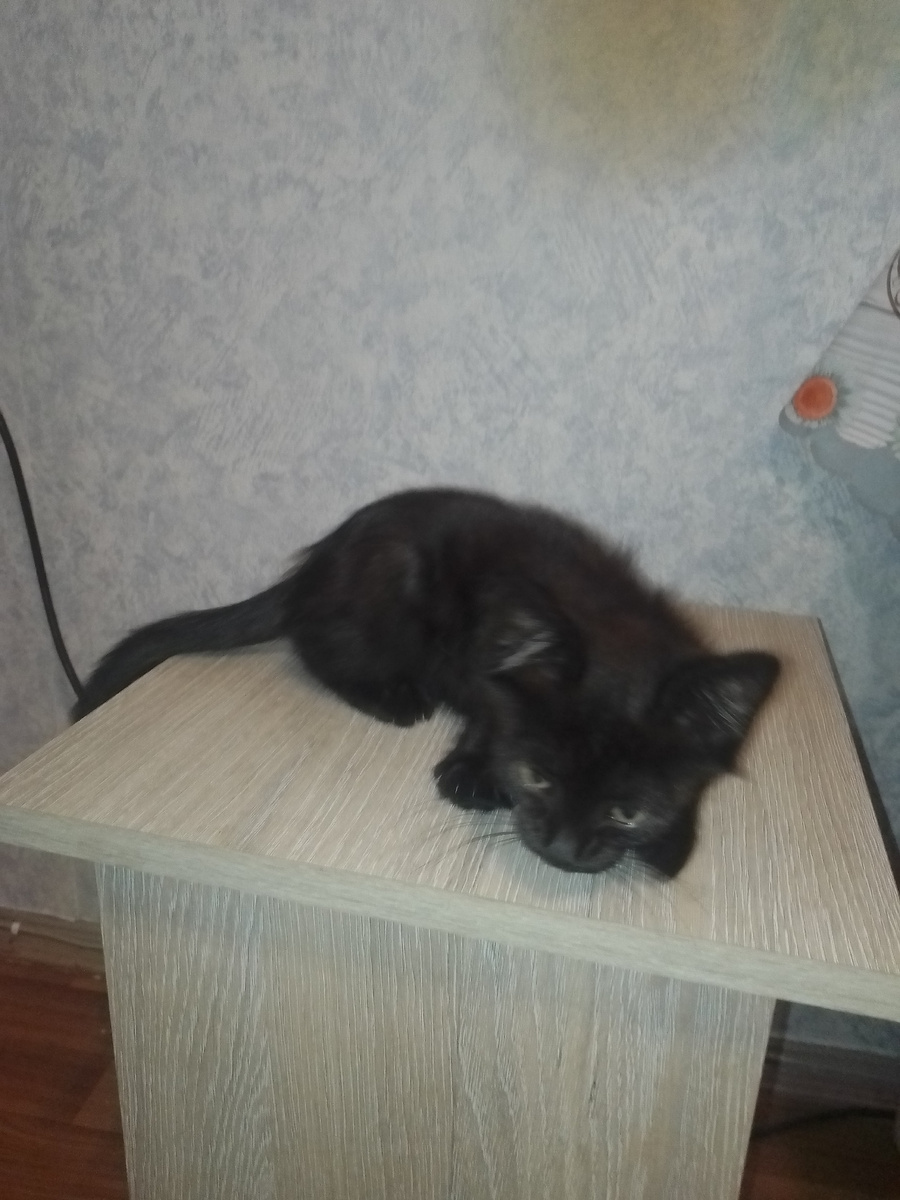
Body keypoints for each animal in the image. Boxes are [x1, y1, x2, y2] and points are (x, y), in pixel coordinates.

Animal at [73, 488, 779, 877]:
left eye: (625, 812)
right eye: (538, 778)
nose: (563, 849)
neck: (616, 621)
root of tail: (317, 565)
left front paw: (675, 836)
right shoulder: (485, 659)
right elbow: (489, 709)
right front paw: (470, 768)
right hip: (395, 577)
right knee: (316, 644)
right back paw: (392, 696)